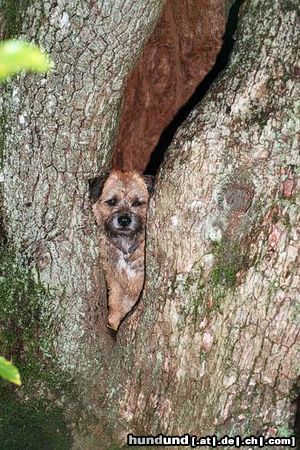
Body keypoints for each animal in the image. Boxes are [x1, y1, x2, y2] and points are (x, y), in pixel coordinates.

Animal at [90, 171, 154, 332]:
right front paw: (113, 323)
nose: (124, 220)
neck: (126, 248)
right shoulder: (115, 281)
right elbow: (115, 303)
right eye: (112, 201)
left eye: (137, 202)